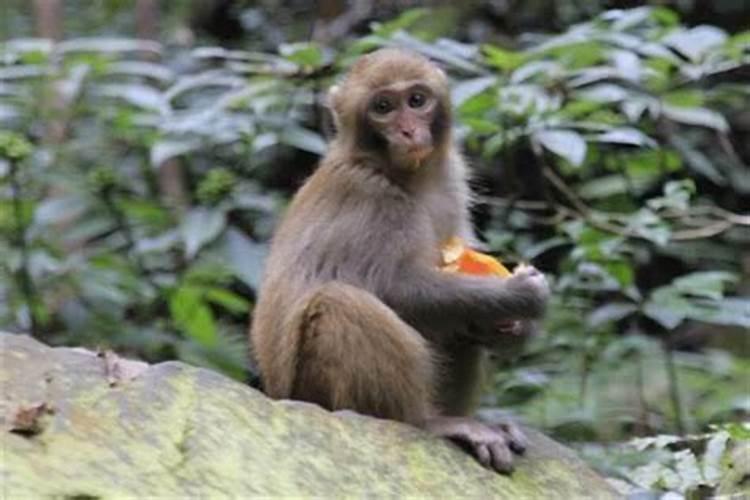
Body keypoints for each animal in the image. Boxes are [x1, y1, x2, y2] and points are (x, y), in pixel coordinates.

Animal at [250, 48, 548, 474]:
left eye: (417, 101)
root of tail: (278, 396)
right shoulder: (371, 198)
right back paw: (429, 422)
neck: (404, 176)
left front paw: (514, 328)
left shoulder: (451, 179)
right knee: (341, 303)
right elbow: (395, 289)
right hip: (316, 394)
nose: (408, 131)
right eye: (383, 107)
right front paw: (518, 294)